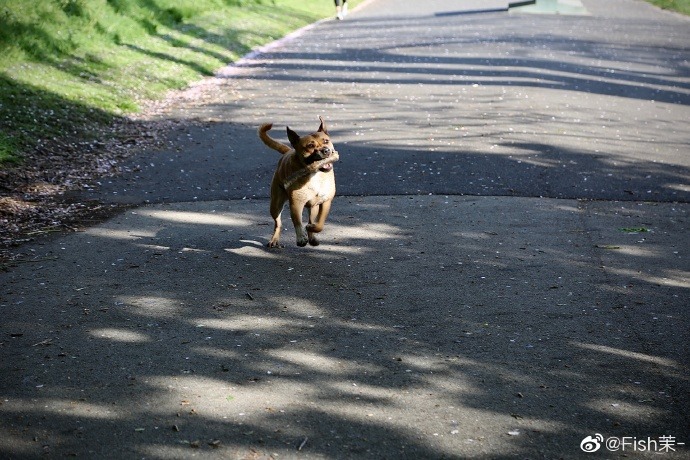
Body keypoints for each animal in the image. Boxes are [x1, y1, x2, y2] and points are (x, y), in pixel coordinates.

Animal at [256, 117, 338, 248]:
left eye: (326, 141)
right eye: (310, 145)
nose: (326, 150)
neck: (315, 174)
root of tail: (289, 150)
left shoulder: (326, 202)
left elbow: (319, 224)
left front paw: (312, 228)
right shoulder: (296, 203)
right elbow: (298, 222)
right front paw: (301, 238)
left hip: (313, 207)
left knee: (310, 219)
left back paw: (312, 236)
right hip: (275, 205)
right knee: (278, 223)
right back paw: (274, 239)